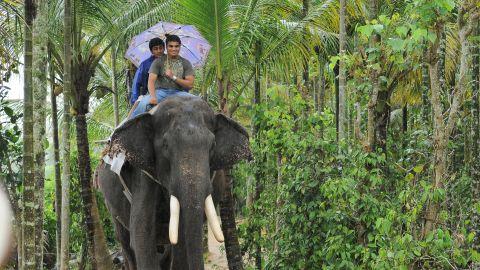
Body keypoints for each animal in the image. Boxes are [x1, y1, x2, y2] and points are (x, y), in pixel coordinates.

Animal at [94, 95, 251, 270]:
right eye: (166, 145)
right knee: (125, 241)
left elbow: (181, 241)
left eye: (213, 146)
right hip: (110, 204)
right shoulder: (143, 174)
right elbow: (142, 234)